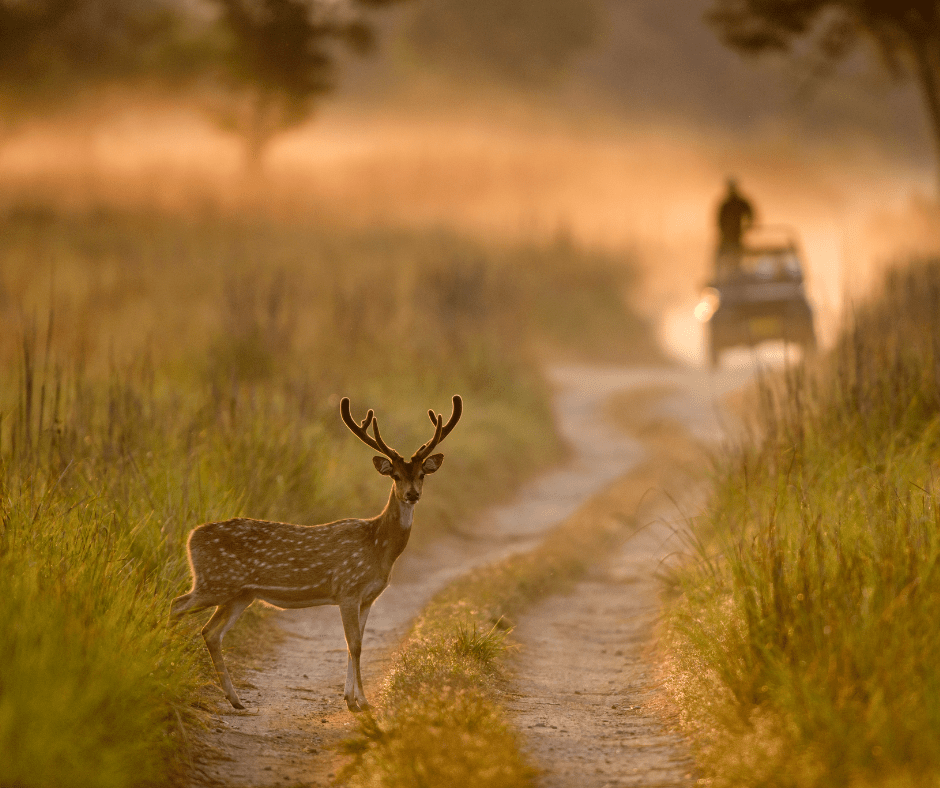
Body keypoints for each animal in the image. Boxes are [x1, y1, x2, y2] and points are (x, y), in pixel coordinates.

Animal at [172, 398, 462, 712]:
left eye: (421, 475)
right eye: (395, 475)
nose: (412, 494)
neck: (378, 546)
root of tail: (191, 536)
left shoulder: (368, 597)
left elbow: (354, 644)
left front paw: (351, 698)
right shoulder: (348, 588)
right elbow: (355, 644)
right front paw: (361, 702)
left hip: (240, 594)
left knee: (211, 632)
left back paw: (235, 700)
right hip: (214, 581)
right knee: (177, 605)